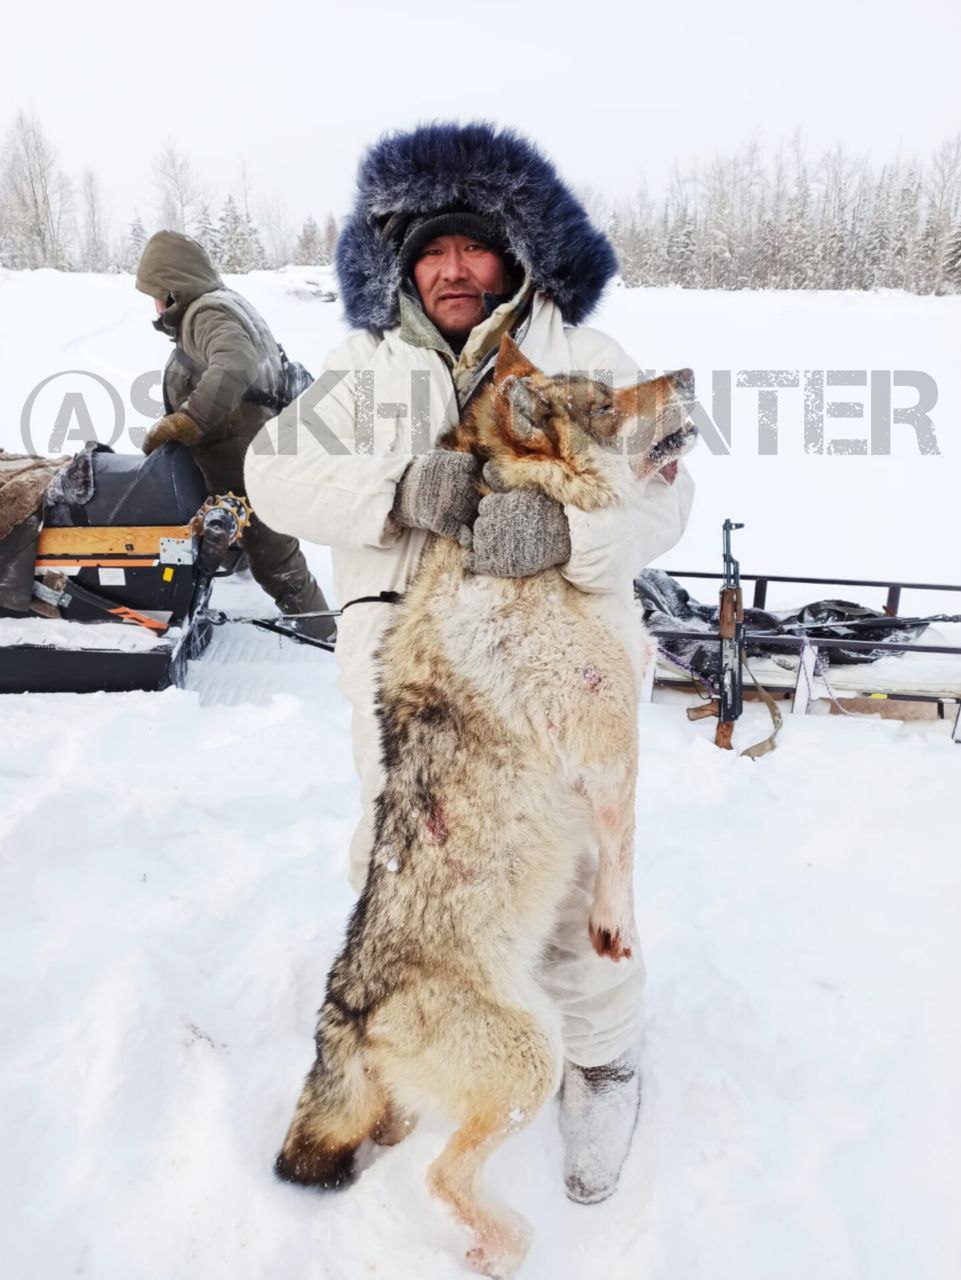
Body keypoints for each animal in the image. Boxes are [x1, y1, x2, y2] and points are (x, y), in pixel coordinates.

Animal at [273, 335, 696, 1274]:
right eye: (606, 403)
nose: (690, 374)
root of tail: (346, 1014)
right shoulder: (607, 749)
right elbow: (624, 853)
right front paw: (616, 923)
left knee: (404, 1142)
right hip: (531, 1057)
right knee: (443, 1179)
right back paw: (501, 1249)